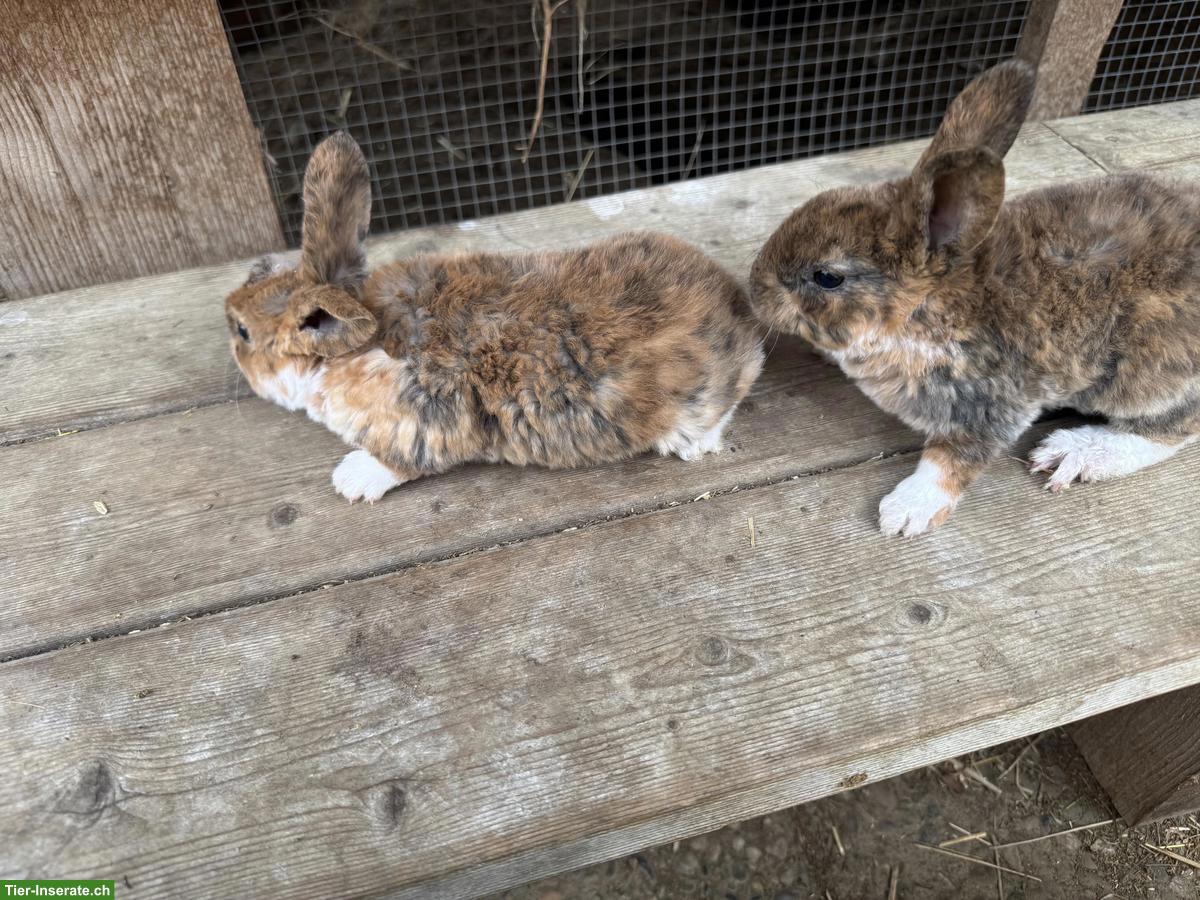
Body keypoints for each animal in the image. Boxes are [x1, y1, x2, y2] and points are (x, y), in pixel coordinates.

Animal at [225, 132, 764, 502]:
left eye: (244, 332)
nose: (229, 326)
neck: (356, 344)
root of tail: (739, 314)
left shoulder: (423, 427)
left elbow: (400, 463)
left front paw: (352, 478)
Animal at [749, 60, 1200, 536]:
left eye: (827, 277)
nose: (754, 288)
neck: (924, 309)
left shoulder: (991, 404)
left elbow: (952, 459)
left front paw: (907, 510)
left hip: (1141, 377)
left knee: (1177, 427)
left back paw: (1077, 452)